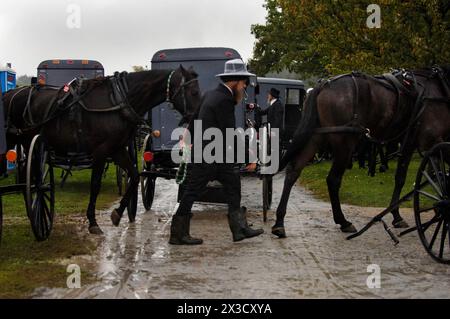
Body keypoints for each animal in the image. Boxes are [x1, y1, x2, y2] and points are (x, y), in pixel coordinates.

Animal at [3, 66, 200, 234]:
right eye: (194, 92)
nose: (194, 118)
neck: (118, 101)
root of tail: (10, 94)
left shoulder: (116, 149)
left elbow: (135, 176)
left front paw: (118, 213)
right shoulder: (100, 151)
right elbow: (95, 184)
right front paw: (92, 222)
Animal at [272, 66, 448, 239]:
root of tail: (323, 85)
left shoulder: (412, 144)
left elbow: (404, 177)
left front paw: (399, 215)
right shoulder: (431, 141)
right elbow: (432, 175)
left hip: (316, 137)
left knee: (294, 170)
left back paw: (279, 221)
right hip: (345, 143)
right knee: (333, 179)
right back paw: (343, 221)